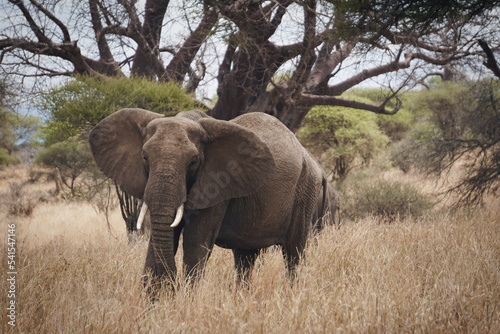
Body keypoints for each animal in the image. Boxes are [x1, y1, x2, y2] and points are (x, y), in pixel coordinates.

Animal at [89, 108, 324, 288]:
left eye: (193, 162)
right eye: (145, 158)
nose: (172, 283)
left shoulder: (219, 183)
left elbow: (196, 243)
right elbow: (159, 240)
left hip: (306, 189)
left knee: (293, 254)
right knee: (245, 257)